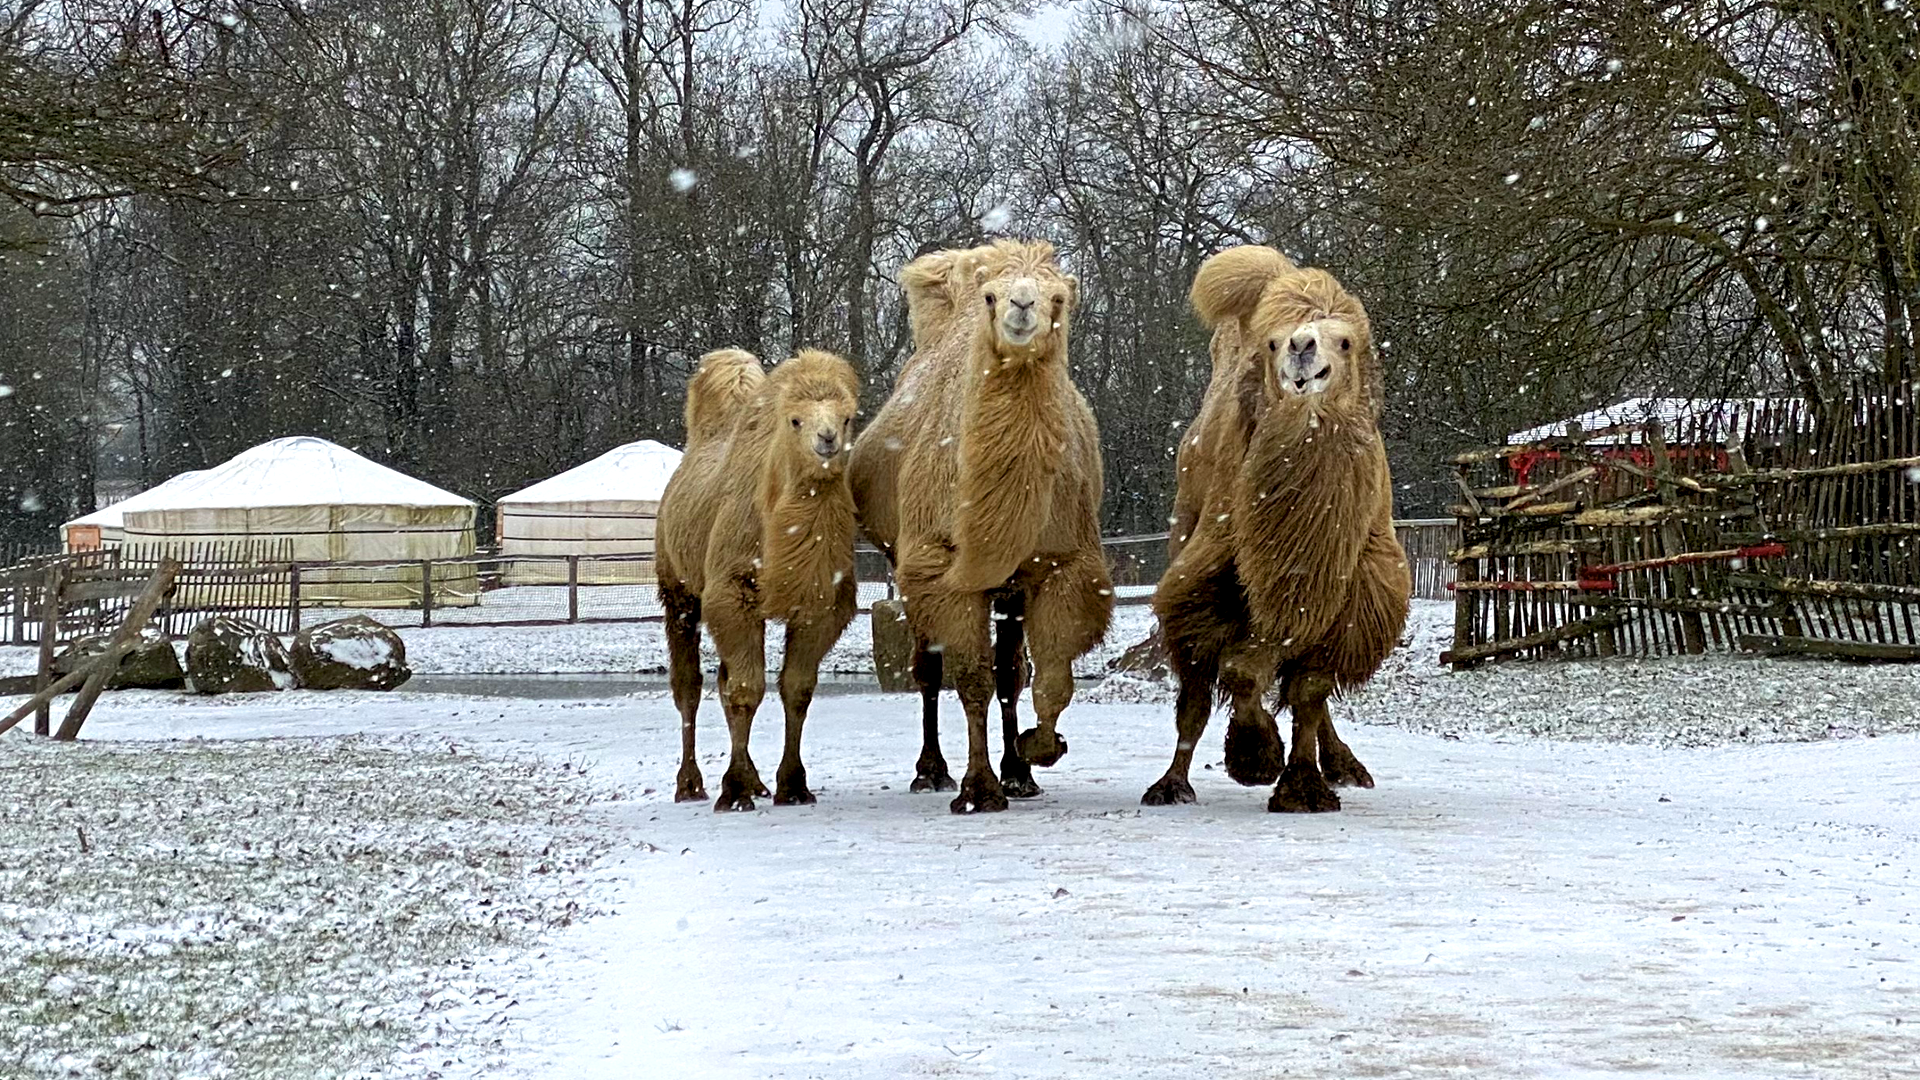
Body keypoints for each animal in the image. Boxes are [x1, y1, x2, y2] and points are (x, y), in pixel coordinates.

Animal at [656, 349, 860, 810]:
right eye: (795, 420)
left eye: (848, 417)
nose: (827, 439)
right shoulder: (731, 593)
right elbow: (747, 689)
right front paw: (733, 791)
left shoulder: (821, 603)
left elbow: (797, 689)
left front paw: (792, 786)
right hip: (677, 589)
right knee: (689, 685)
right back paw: (690, 785)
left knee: (721, 681)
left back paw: (755, 781)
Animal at [852, 235, 1121, 807]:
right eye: (992, 297)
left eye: (1059, 300)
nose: (1021, 307)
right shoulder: (938, 565)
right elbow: (969, 676)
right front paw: (978, 788)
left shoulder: (1061, 563)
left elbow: (1047, 675)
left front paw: (1036, 750)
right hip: (904, 561)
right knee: (928, 669)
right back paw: (930, 771)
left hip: (1010, 588)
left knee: (1010, 671)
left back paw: (1017, 771)